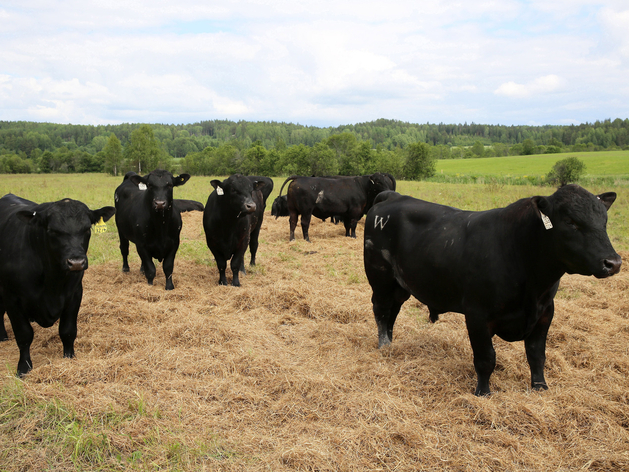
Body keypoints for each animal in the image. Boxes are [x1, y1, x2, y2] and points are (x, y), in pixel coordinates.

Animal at [0, 194, 115, 374]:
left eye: (87, 229)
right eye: (52, 231)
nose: (76, 262)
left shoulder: (75, 294)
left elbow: (68, 330)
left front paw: (69, 357)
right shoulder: (11, 298)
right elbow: (24, 335)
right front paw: (24, 367)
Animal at [366, 186, 620, 396]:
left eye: (604, 221)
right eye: (570, 222)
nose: (613, 262)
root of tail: (393, 195)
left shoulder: (546, 311)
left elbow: (537, 354)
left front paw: (540, 387)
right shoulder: (477, 314)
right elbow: (486, 358)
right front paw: (483, 393)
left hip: (400, 285)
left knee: (393, 312)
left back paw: (391, 343)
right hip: (380, 278)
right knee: (381, 311)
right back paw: (384, 346)